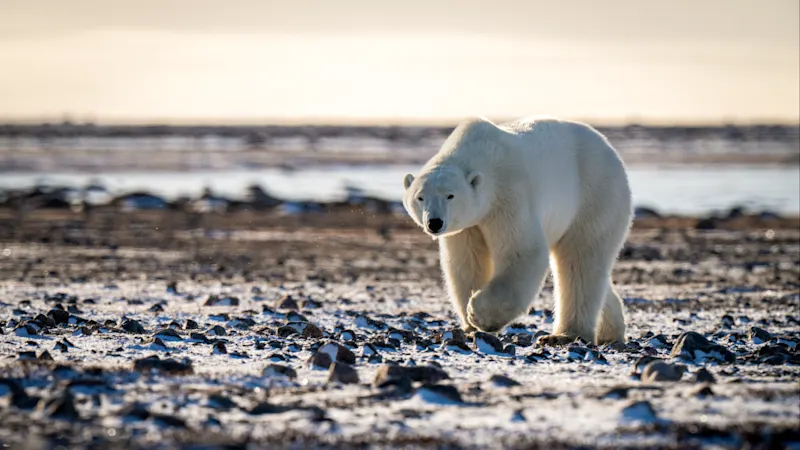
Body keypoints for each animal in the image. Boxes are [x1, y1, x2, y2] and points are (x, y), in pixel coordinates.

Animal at [404, 116, 636, 344]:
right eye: (420, 197)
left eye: (450, 195)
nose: (434, 222)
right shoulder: (468, 226)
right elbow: (467, 262)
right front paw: (470, 325)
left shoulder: (508, 195)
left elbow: (522, 251)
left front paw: (477, 314)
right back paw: (610, 331)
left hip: (595, 195)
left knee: (579, 259)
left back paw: (565, 334)